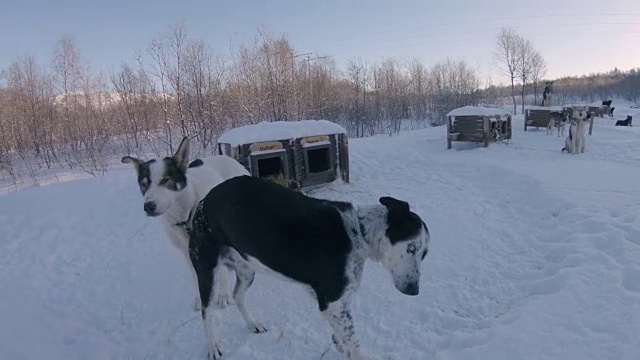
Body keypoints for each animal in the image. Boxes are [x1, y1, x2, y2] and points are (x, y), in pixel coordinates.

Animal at [120, 136, 250, 310]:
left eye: (165, 180)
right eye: (143, 183)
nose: (148, 207)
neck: (185, 214)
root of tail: (230, 159)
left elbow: (220, 272)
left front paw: (223, 295)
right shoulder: (186, 250)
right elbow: (195, 275)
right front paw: (199, 298)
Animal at [188, 174, 432, 358]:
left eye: (425, 254)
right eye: (411, 247)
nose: (414, 291)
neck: (358, 233)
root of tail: (203, 202)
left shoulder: (332, 300)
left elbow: (342, 334)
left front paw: (339, 344)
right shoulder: (332, 302)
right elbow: (354, 343)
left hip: (247, 270)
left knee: (238, 295)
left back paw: (253, 323)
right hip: (208, 274)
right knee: (206, 312)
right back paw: (213, 345)